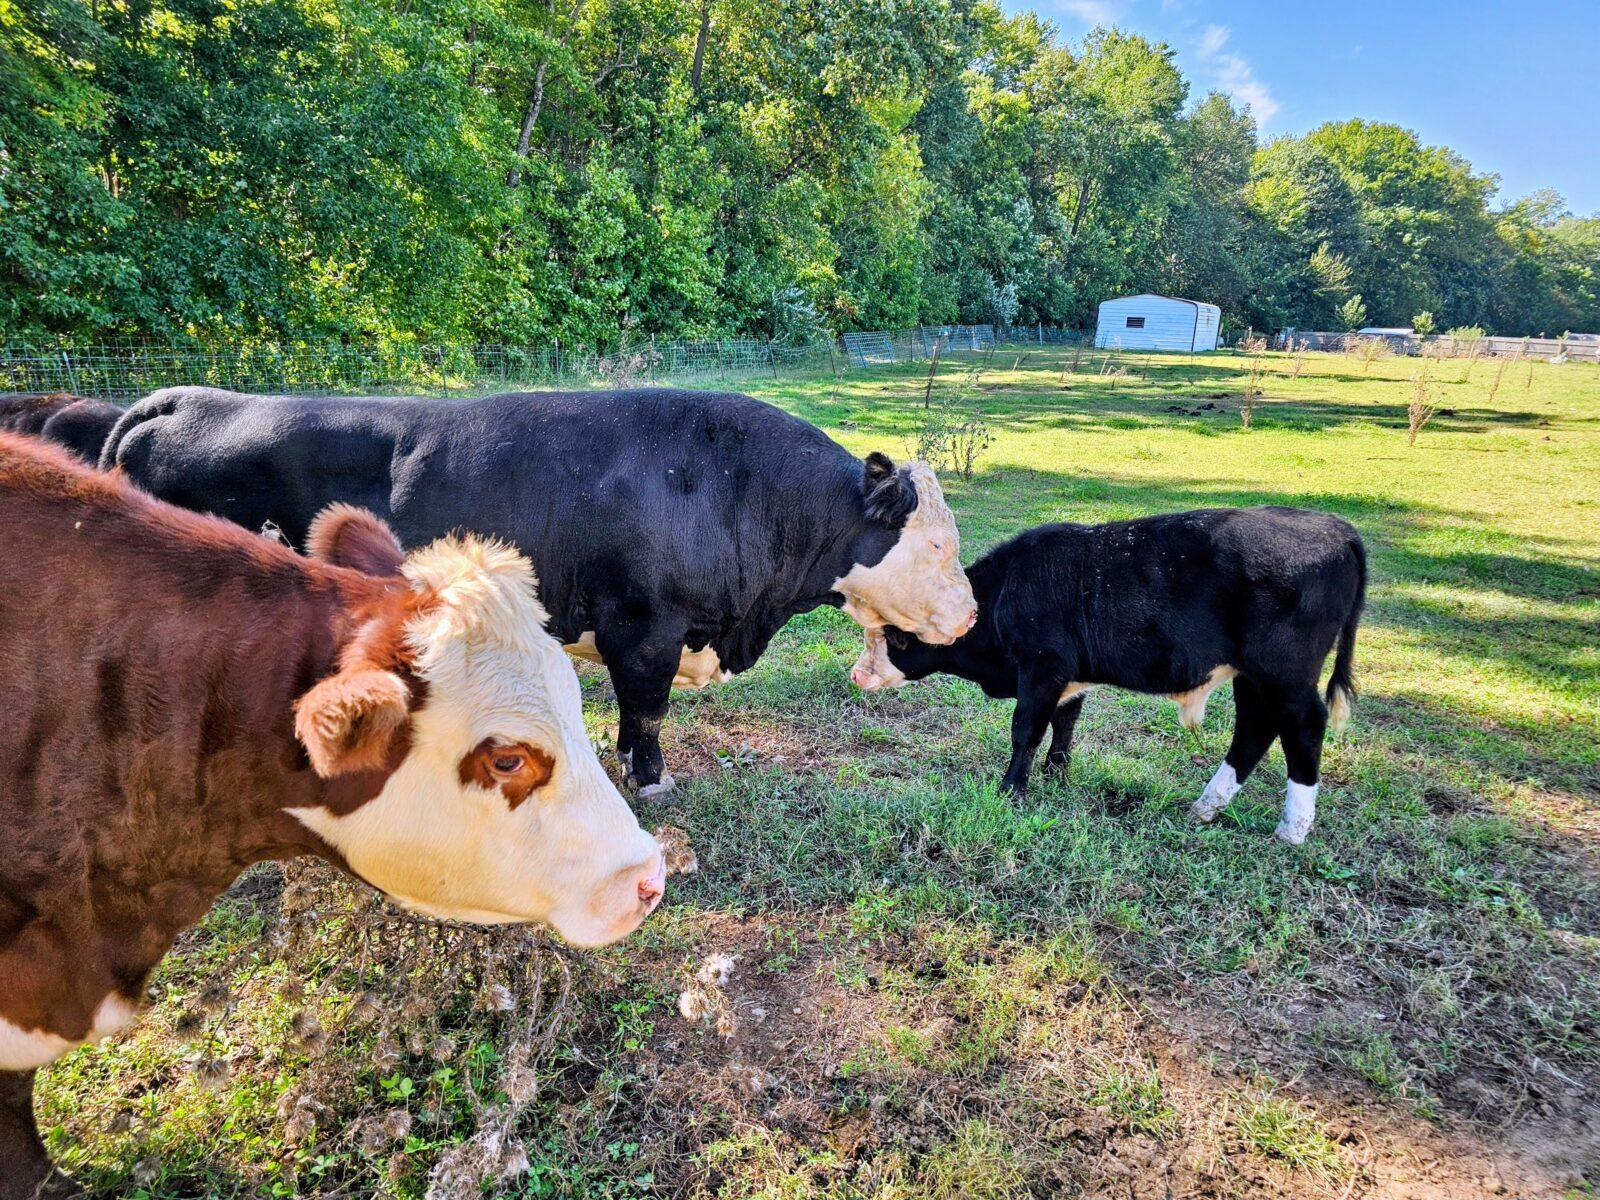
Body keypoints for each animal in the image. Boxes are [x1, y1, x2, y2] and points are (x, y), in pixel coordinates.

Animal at [100, 387, 978, 794]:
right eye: (937, 543)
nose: (972, 615)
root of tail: (184, 397)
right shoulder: (646, 627)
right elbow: (647, 709)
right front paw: (652, 778)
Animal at [850, 507, 1366, 844]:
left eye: (897, 639)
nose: (856, 676)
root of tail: (1335, 527)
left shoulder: (1042, 667)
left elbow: (1026, 730)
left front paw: (1012, 789)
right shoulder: (1068, 677)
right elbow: (1064, 723)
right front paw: (1057, 774)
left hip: (1284, 674)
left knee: (1302, 726)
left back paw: (1292, 829)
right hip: (1254, 677)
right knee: (1255, 729)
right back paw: (1207, 807)